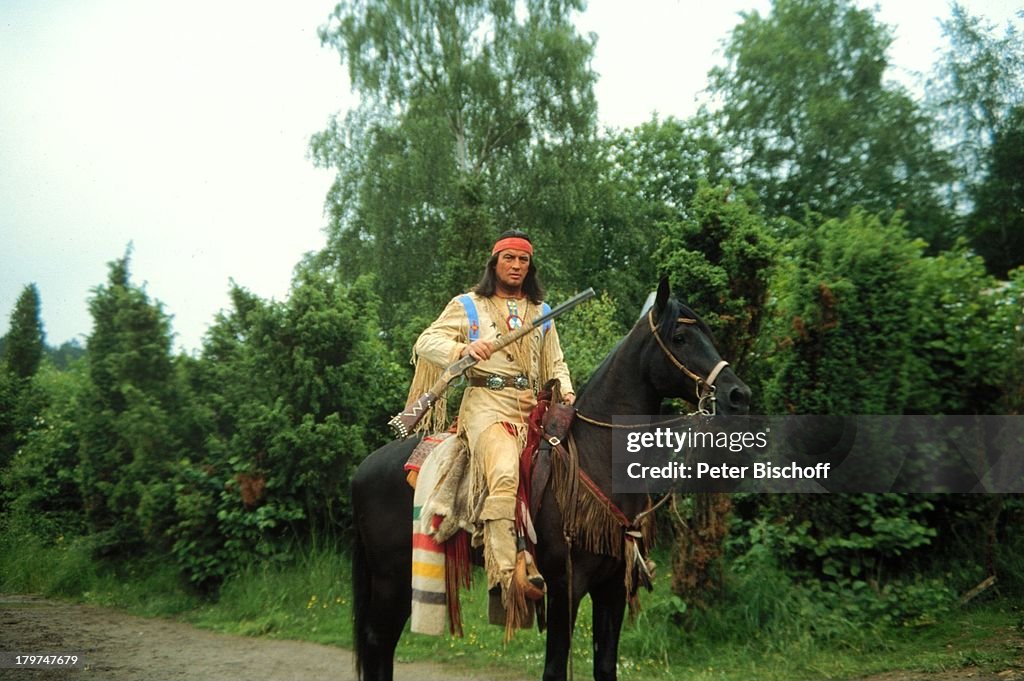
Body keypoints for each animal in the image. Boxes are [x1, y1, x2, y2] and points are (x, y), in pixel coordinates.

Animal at [348, 278, 749, 679]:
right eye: (680, 337)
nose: (738, 394)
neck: (597, 454)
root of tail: (362, 469)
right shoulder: (564, 587)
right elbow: (555, 668)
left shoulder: (612, 587)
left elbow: (605, 666)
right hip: (392, 576)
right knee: (378, 641)